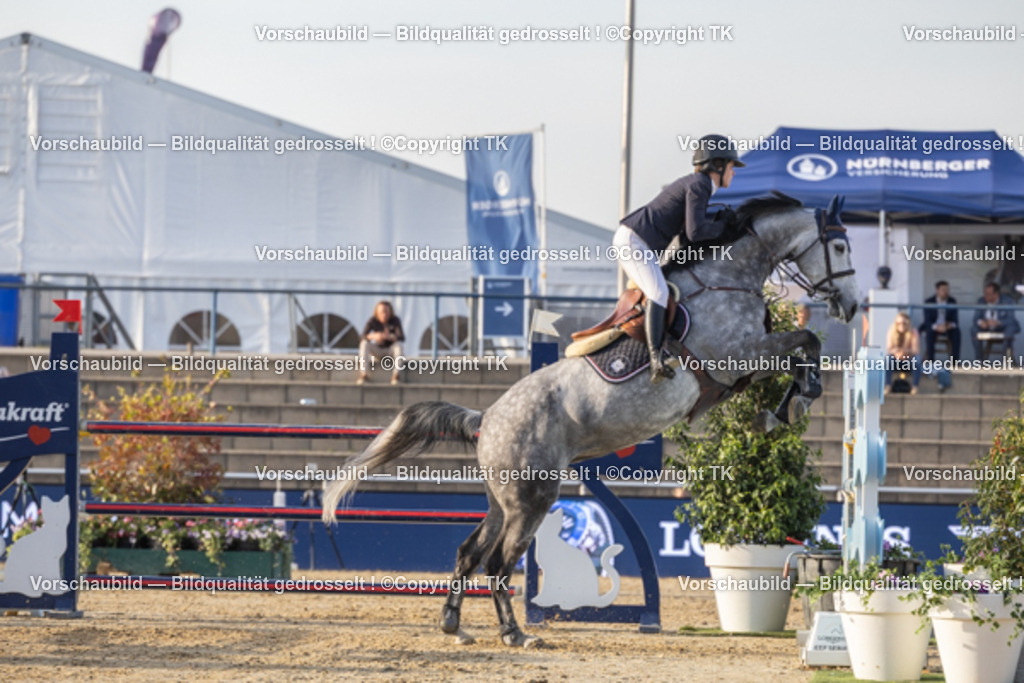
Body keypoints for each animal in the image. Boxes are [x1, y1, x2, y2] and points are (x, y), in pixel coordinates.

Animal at [323, 193, 860, 647]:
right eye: (838, 244)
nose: (852, 306)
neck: (728, 277)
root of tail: (487, 418)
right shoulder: (739, 356)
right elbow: (806, 341)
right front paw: (797, 401)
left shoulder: (745, 366)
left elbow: (802, 348)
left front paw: (787, 405)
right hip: (532, 499)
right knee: (498, 562)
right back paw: (516, 634)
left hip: (502, 501)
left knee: (469, 552)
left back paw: (455, 625)